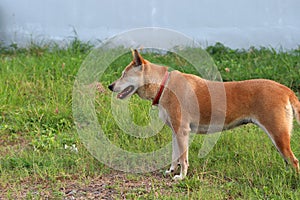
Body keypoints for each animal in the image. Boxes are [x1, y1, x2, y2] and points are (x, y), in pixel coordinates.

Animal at [108, 49, 300, 180]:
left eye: (124, 74)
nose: (110, 86)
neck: (164, 85)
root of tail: (285, 89)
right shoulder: (175, 131)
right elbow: (174, 156)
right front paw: (171, 171)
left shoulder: (182, 131)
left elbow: (183, 158)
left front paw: (181, 177)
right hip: (279, 137)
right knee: (288, 160)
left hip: (278, 134)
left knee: (294, 161)